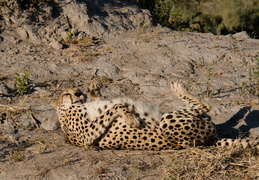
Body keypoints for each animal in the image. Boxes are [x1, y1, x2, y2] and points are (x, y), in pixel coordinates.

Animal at [55, 81, 218, 150]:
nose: (78, 94)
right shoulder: (87, 135)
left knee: (205, 110)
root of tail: (208, 139)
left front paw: (94, 90)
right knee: (205, 107)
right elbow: (116, 106)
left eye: (77, 90)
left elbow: (101, 100)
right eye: (66, 94)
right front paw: (131, 118)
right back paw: (178, 88)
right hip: (168, 122)